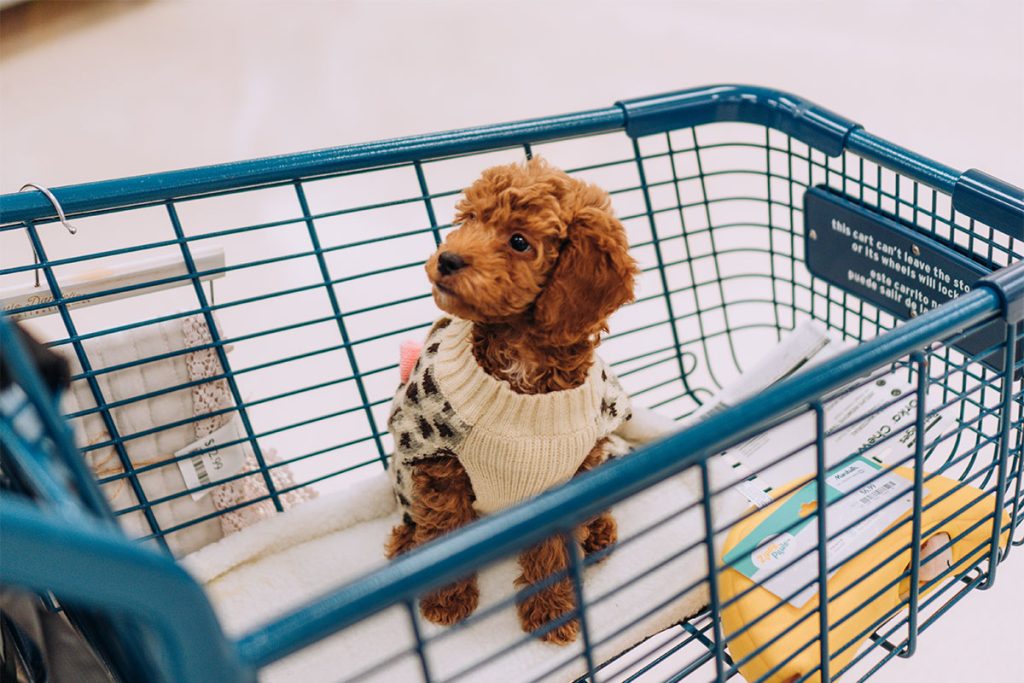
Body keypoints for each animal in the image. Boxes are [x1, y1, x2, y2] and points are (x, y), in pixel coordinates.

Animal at [387, 157, 634, 643]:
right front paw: (446, 604)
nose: (447, 258)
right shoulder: (438, 466)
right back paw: (406, 550)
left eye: (519, 241)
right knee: (413, 525)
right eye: (468, 220)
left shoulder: (563, 482)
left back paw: (599, 532)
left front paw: (553, 612)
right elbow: (443, 533)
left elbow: (555, 552)